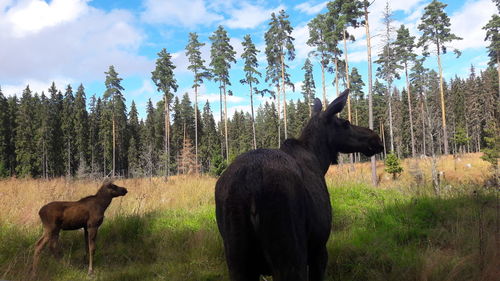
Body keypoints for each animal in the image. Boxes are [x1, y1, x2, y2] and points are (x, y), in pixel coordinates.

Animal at [215, 89, 382, 280]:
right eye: (346, 123)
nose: (376, 138)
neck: (320, 159)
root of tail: (251, 184)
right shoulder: (319, 250)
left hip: (237, 261)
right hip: (291, 255)